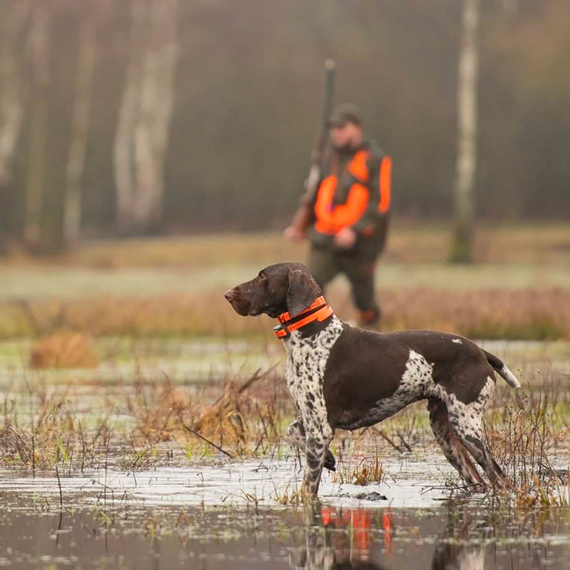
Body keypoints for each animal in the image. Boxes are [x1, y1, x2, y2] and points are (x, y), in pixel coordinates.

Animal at [223, 260, 520, 494]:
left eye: (263, 276)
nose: (227, 294)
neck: (313, 334)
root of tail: (481, 351)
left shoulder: (320, 427)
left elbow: (308, 487)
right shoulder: (310, 419)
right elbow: (292, 431)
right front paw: (330, 459)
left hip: (467, 425)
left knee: (499, 477)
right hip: (446, 431)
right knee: (479, 479)